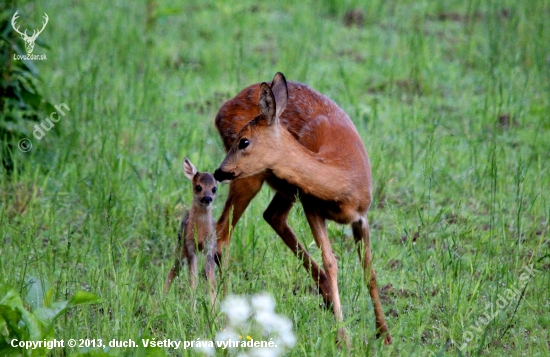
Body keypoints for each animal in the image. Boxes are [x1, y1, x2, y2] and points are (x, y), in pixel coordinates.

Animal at [164, 158, 218, 306]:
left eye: (214, 188)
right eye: (198, 187)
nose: (207, 198)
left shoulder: (210, 249)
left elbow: (211, 283)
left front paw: (214, 309)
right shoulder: (190, 248)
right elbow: (193, 283)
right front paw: (192, 309)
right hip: (180, 248)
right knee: (172, 271)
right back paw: (161, 300)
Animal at [212, 73, 392, 344]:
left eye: (244, 142)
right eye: (237, 140)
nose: (218, 171)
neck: (343, 177)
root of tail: (222, 110)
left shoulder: (362, 216)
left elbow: (368, 269)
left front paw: (385, 334)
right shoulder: (311, 206)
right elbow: (331, 263)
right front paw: (343, 338)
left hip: (284, 188)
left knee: (271, 216)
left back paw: (325, 295)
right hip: (252, 178)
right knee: (222, 233)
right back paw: (224, 311)